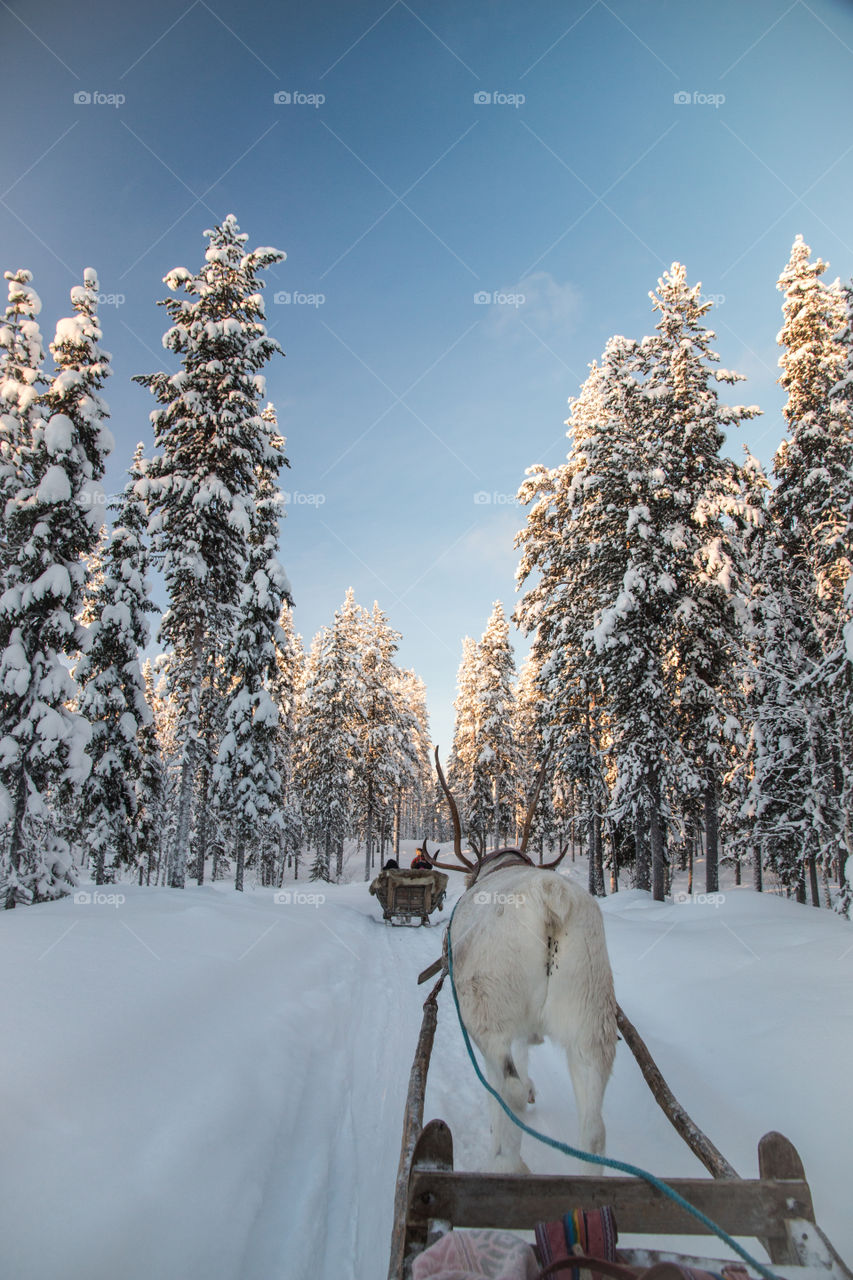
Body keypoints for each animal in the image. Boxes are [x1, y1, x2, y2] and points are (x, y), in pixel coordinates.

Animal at [420, 748, 617, 1174]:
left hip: (489, 1013)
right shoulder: (528, 1028)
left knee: (505, 1088)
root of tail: (550, 902)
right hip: (591, 1017)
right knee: (594, 1126)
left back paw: (505, 1163)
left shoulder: (506, 1025)